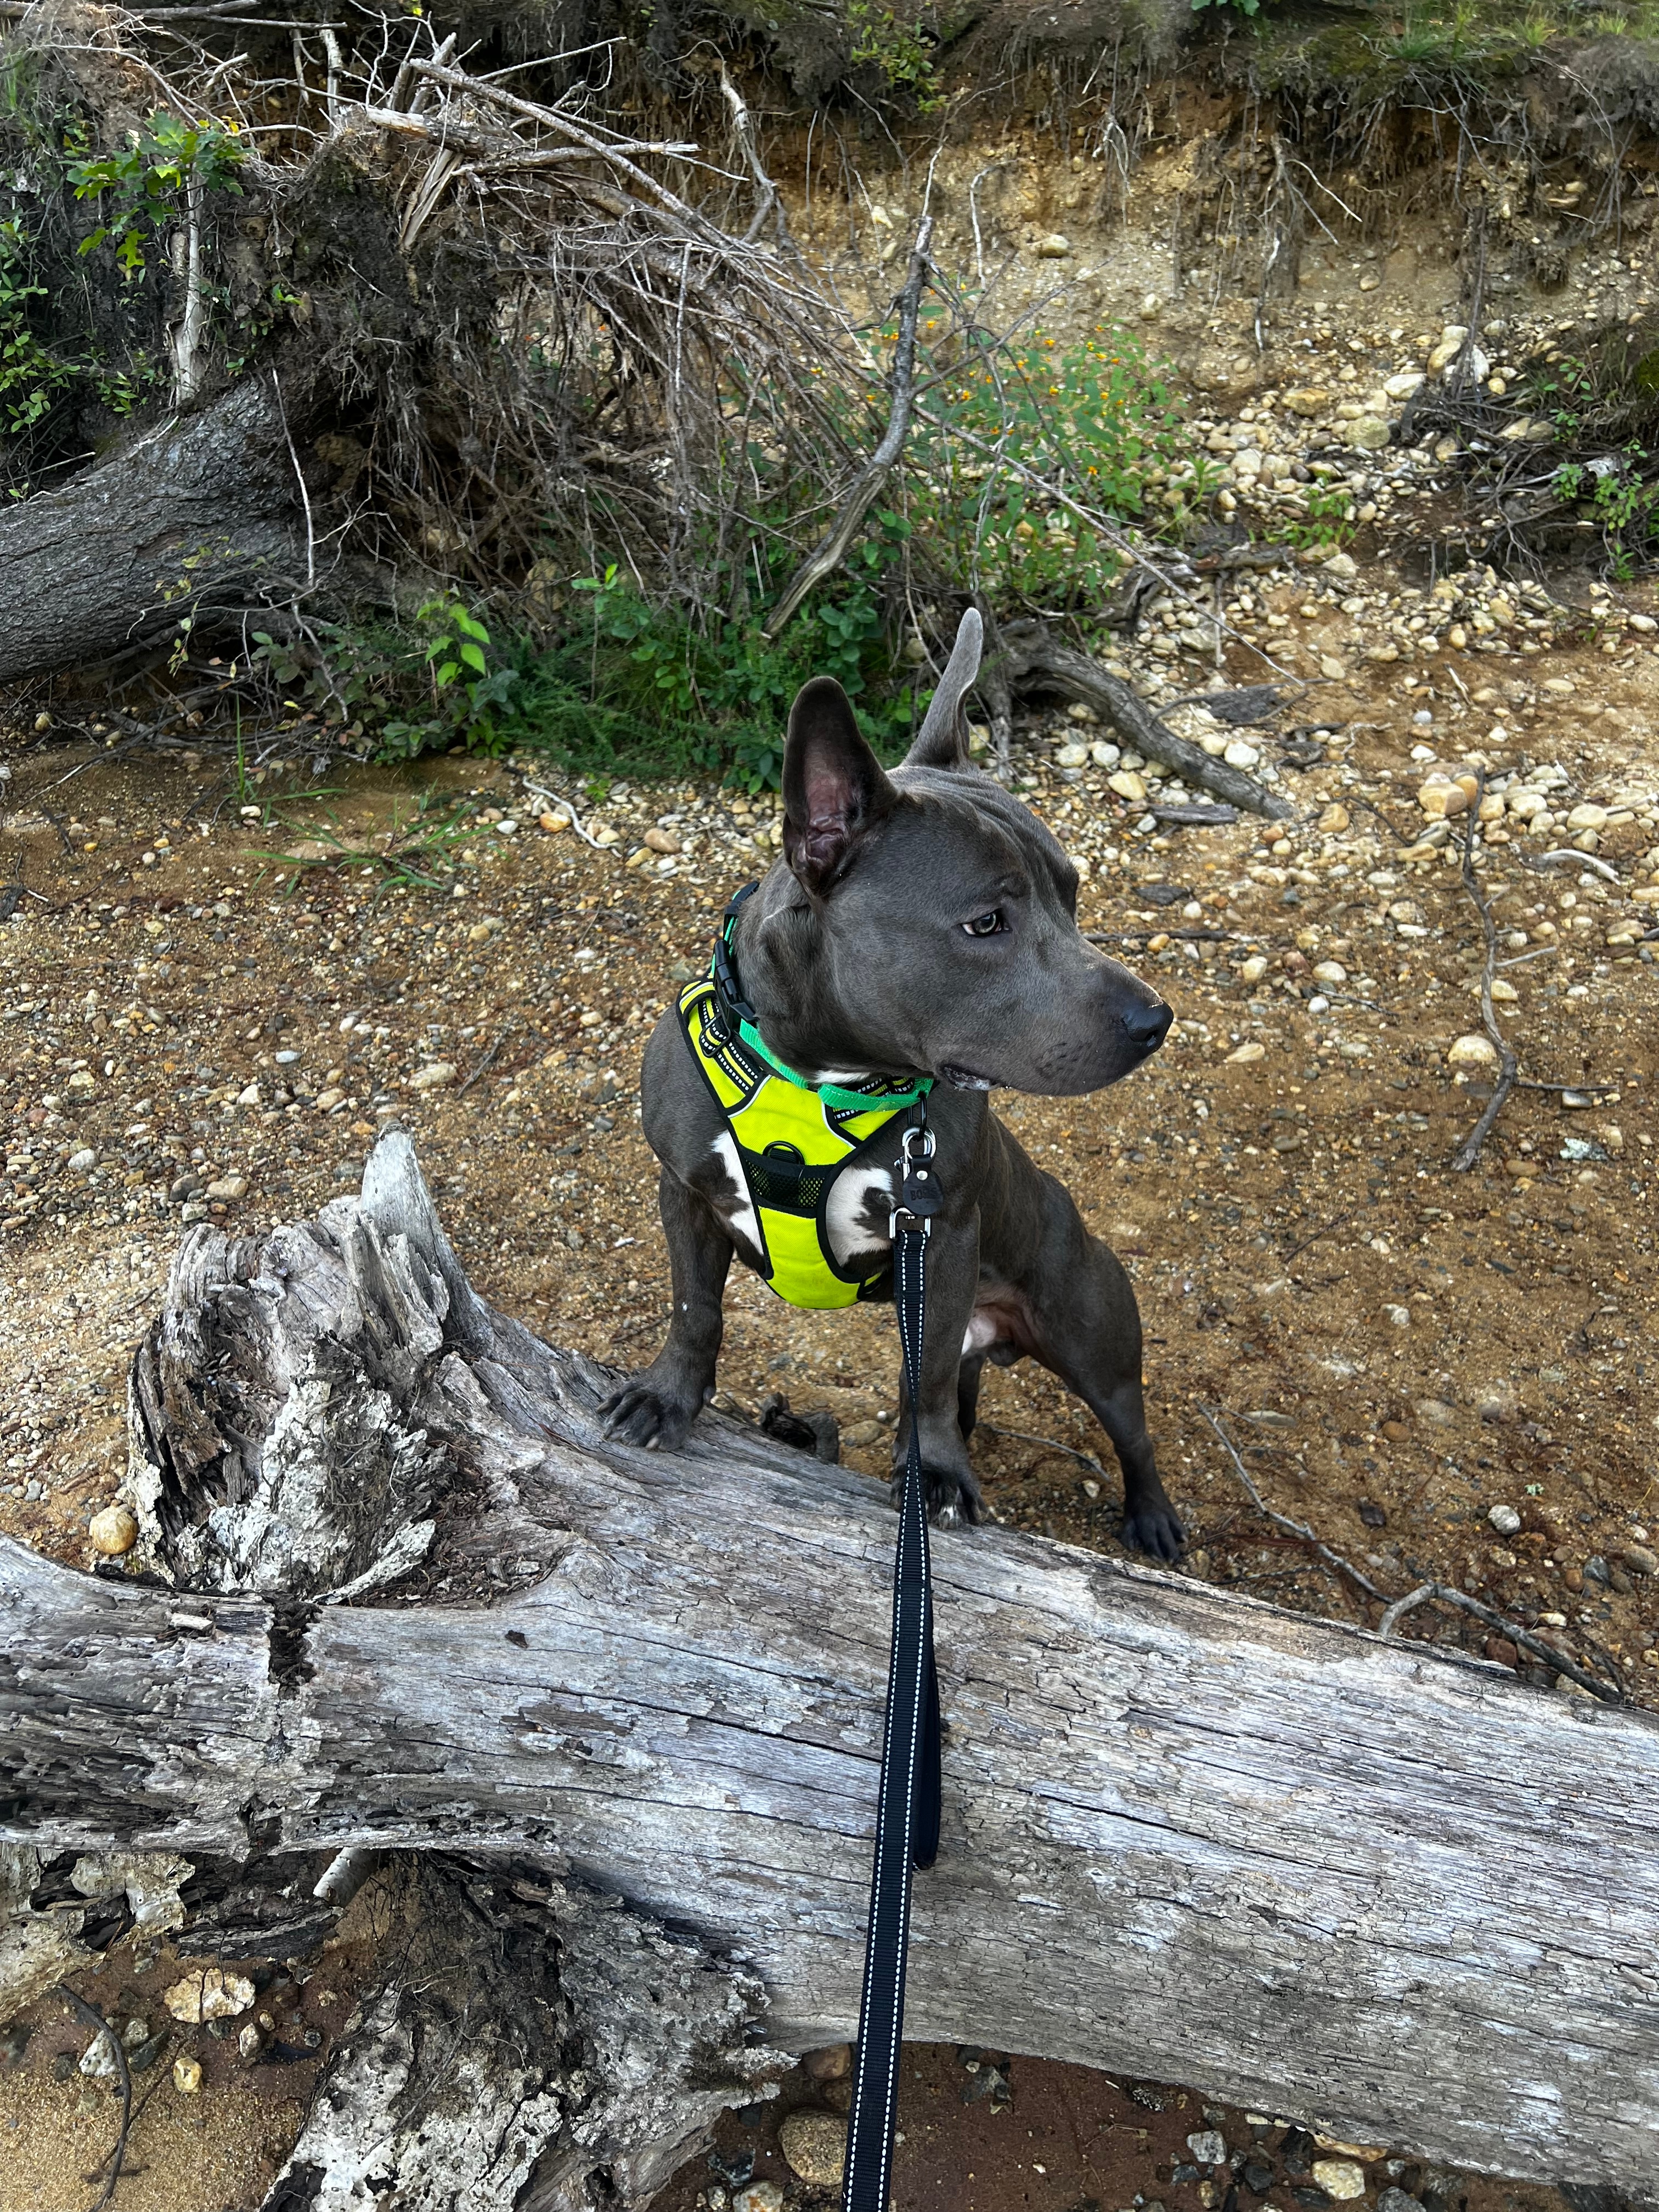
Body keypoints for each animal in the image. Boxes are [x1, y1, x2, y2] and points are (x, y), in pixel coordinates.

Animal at [606, 606, 1186, 1557]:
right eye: (985, 922)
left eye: (1071, 895)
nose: (1155, 1021)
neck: (821, 1079)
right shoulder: (684, 1191)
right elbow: (695, 1309)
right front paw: (669, 1396)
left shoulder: (941, 1237)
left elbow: (925, 1388)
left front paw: (937, 1478)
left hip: (1092, 1332)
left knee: (1127, 1428)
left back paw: (1153, 1518)